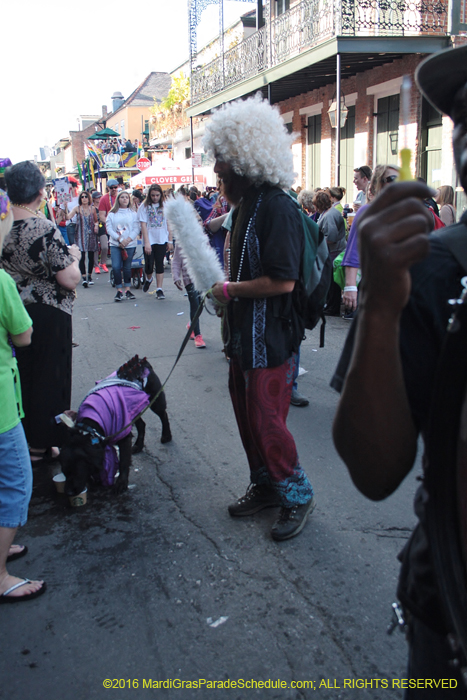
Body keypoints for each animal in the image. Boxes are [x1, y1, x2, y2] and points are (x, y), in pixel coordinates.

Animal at [59, 356, 173, 498]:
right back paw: (139, 445)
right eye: (64, 471)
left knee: (163, 415)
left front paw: (121, 484)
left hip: (155, 399)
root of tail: (142, 361)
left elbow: (123, 462)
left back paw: (166, 435)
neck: (90, 428)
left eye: (77, 470)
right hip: (132, 411)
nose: (68, 492)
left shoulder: (123, 437)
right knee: (142, 425)